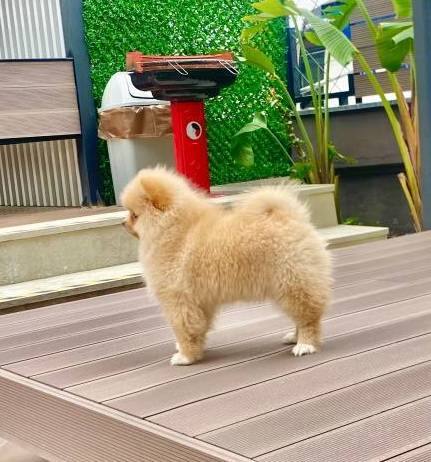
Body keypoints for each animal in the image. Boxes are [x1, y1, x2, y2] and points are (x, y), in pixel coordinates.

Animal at [121, 167, 332, 366]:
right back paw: (294, 337)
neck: (174, 231)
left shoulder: (178, 300)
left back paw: (305, 344)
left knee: (308, 317)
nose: (123, 222)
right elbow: (199, 327)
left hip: (291, 282)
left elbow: (184, 329)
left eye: (134, 215)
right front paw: (191, 349)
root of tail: (290, 217)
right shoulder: (200, 302)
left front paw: (186, 356)